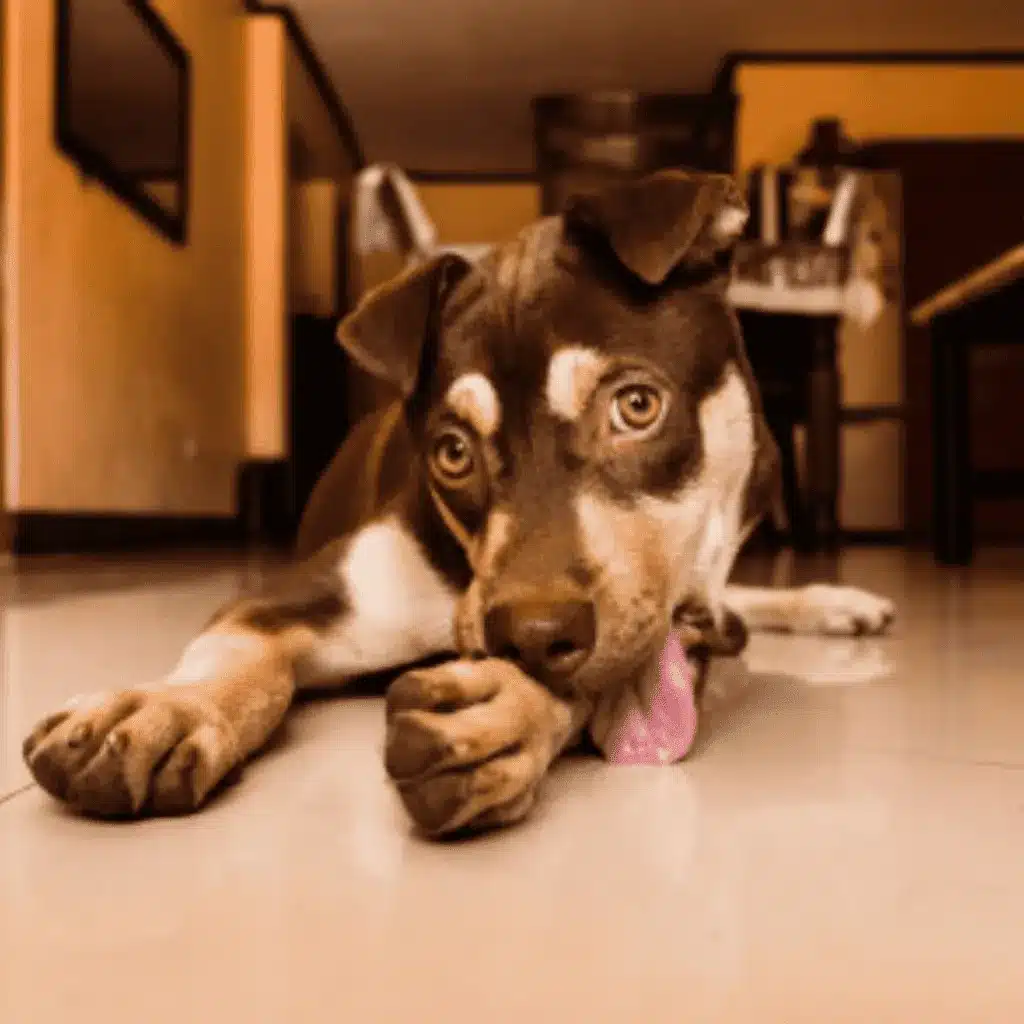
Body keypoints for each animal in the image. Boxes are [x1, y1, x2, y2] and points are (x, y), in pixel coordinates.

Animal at [19, 172, 892, 835]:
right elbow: (241, 656)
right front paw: (162, 709)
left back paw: (832, 601)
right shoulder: (295, 595)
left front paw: (500, 717)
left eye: (637, 406)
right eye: (452, 452)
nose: (529, 634)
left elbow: (593, 673)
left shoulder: (660, 620)